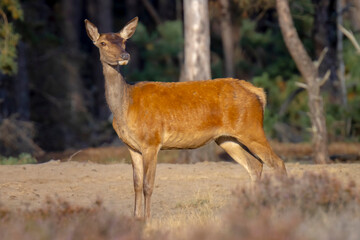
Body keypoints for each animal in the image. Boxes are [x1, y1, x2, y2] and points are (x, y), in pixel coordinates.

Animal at [85, 16, 286, 219]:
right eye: (103, 43)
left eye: (124, 41)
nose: (125, 56)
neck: (125, 107)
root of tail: (259, 93)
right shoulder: (131, 146)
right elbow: (135, 184)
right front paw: (136, 217)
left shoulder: (151, 141)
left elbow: (147, 185)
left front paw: (147, 219)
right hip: (226, 138)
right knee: (256, 165)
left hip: (251, 128)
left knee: (278, 163)